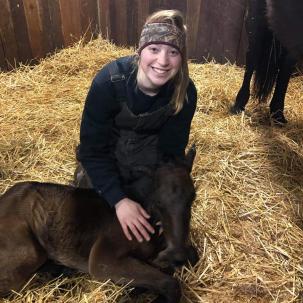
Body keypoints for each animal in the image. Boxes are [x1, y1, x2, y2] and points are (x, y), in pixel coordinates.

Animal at [0, 148, 198, 302]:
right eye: (158, 202)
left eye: (192, 197)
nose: (177, 255)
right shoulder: (102, 259)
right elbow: (170, 284)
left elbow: (192, 256)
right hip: (29, 252)